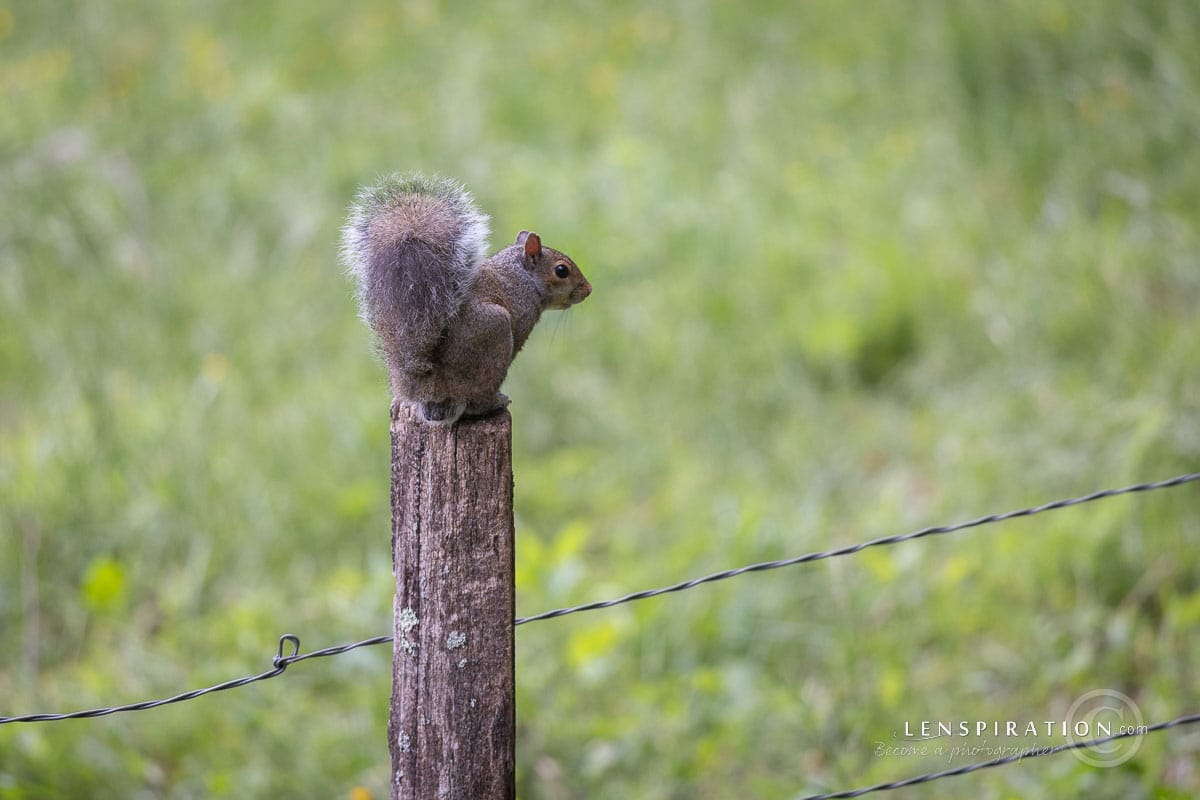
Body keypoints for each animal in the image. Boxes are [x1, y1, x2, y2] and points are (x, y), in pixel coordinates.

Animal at [340, 173, 591, 425]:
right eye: (561, 270)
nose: (588, 290)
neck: (522, 275)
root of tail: (431, 384)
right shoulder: (521, 315)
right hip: (495, 334)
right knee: (474, 401)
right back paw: (494, 402)